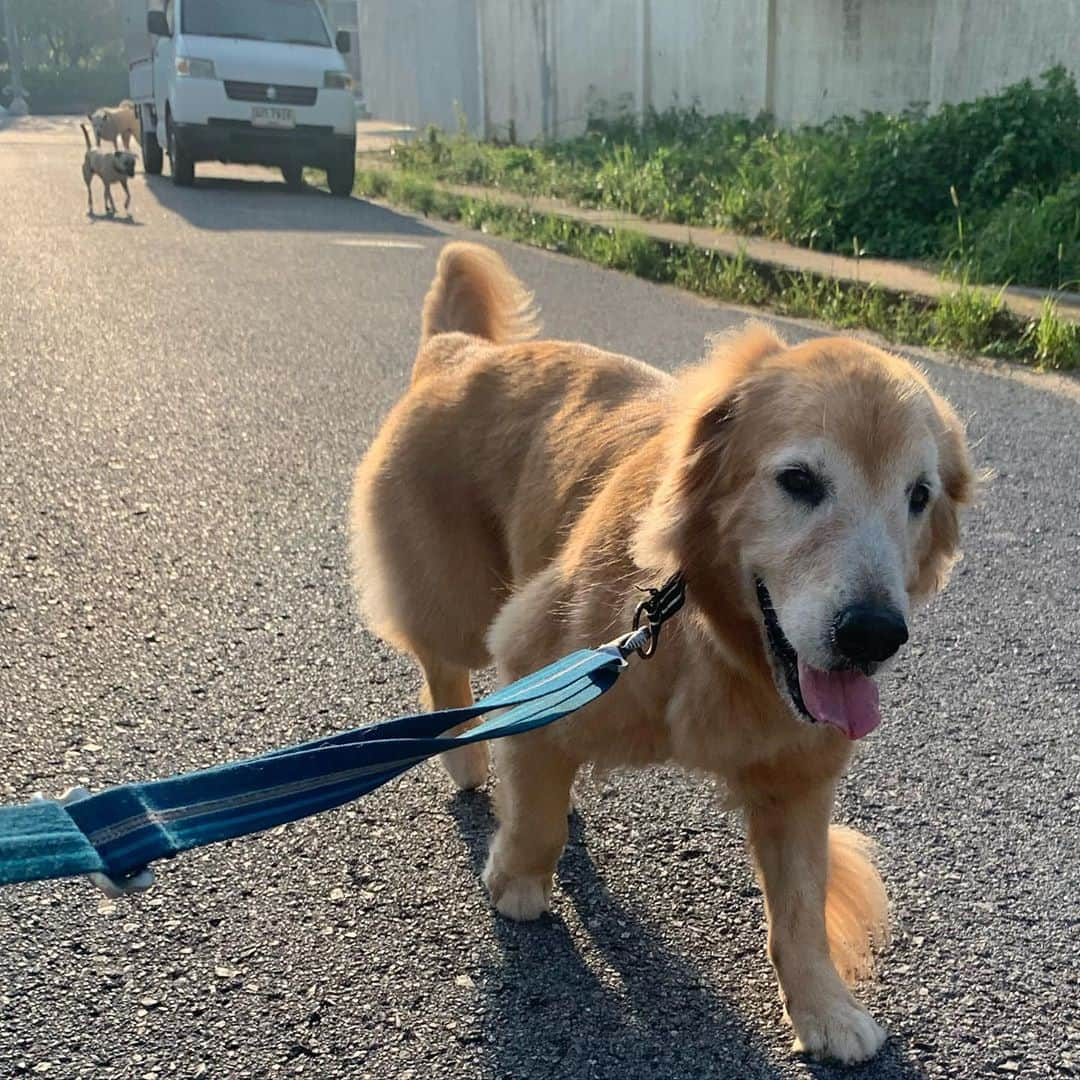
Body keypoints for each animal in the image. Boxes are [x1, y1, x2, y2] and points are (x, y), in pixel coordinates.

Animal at [349, 243, 976, 1062]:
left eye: (919, 495)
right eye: (799, 480)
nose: (874, 636)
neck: (706, 631)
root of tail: (461, 350)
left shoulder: (797, 774)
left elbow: (801, 910)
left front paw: (825, 1009)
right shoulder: (535, 641)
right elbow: (536, 821)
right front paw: (518, 881)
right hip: (458, 596)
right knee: (445, 666)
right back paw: (468, 754)